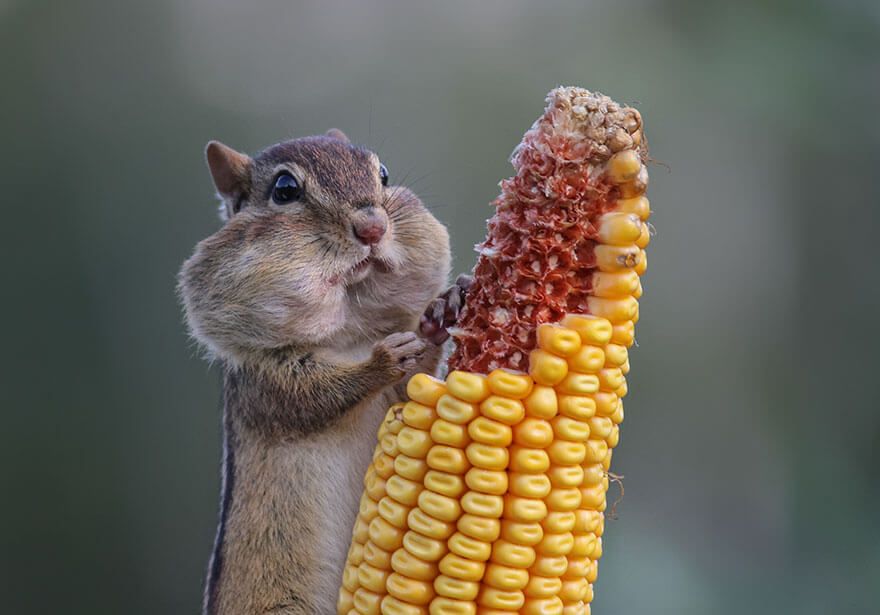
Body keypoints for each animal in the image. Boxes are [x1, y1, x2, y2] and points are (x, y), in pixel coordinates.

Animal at [178, 129, 471, 615]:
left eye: (383, 173)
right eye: (285, 190)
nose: (373, 227)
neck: (349, 332)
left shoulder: (398, 400)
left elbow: (414, 387)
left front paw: (441, 310)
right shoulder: (266, 382)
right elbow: (317, 396)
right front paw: (382, 360)